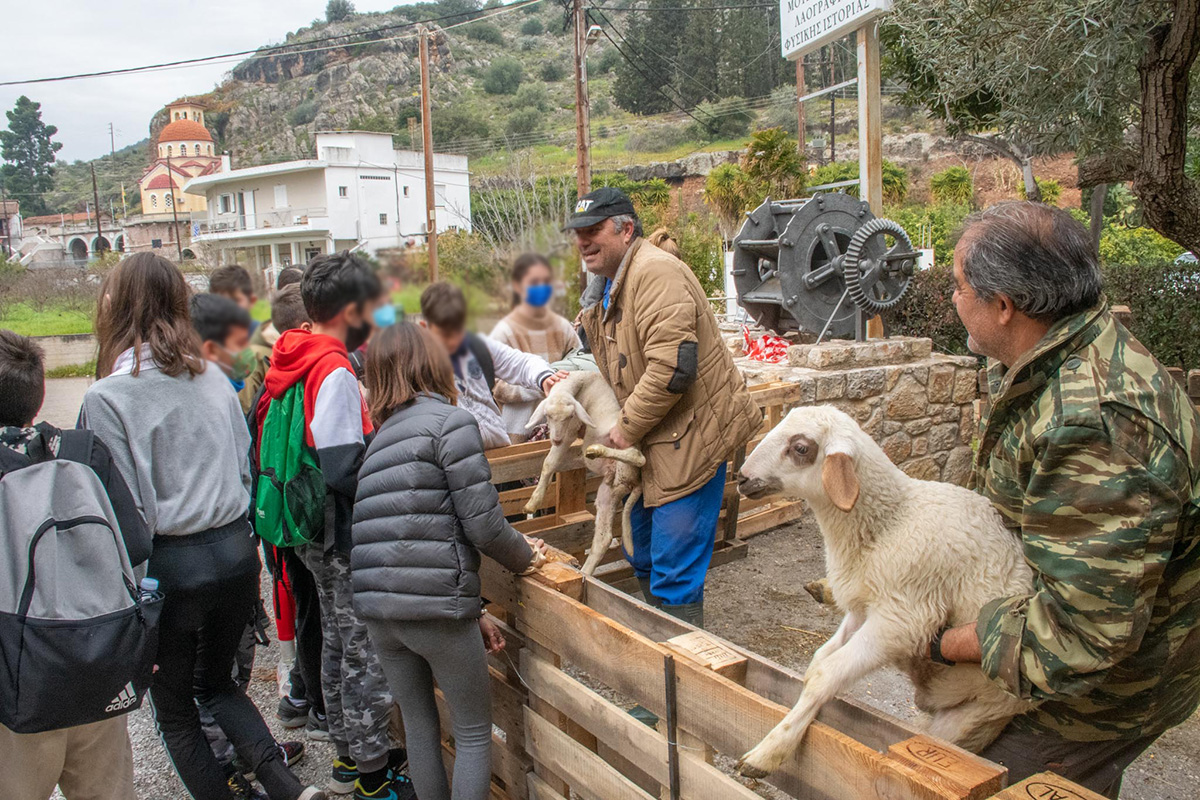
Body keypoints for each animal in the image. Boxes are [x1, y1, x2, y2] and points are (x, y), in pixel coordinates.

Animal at [520, 371, 643, 578]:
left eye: (570, 416)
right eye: (547, 415)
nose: (556, 439)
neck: (581, 379)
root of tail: (637, 481)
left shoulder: (571, 430)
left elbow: (549, 463)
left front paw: (534, 502)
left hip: (624, 454)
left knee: (638, 457)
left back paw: (597, 450)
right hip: (609, 491)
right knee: (603, 538)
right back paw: (584, 574)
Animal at [729, 407, 1032, 777]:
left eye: (801, 448)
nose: (742, 478)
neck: (889, 523)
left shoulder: (900, 620)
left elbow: (825, 675)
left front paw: (769, 751)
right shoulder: (862, 606)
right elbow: (818, 662)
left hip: (975, 714)